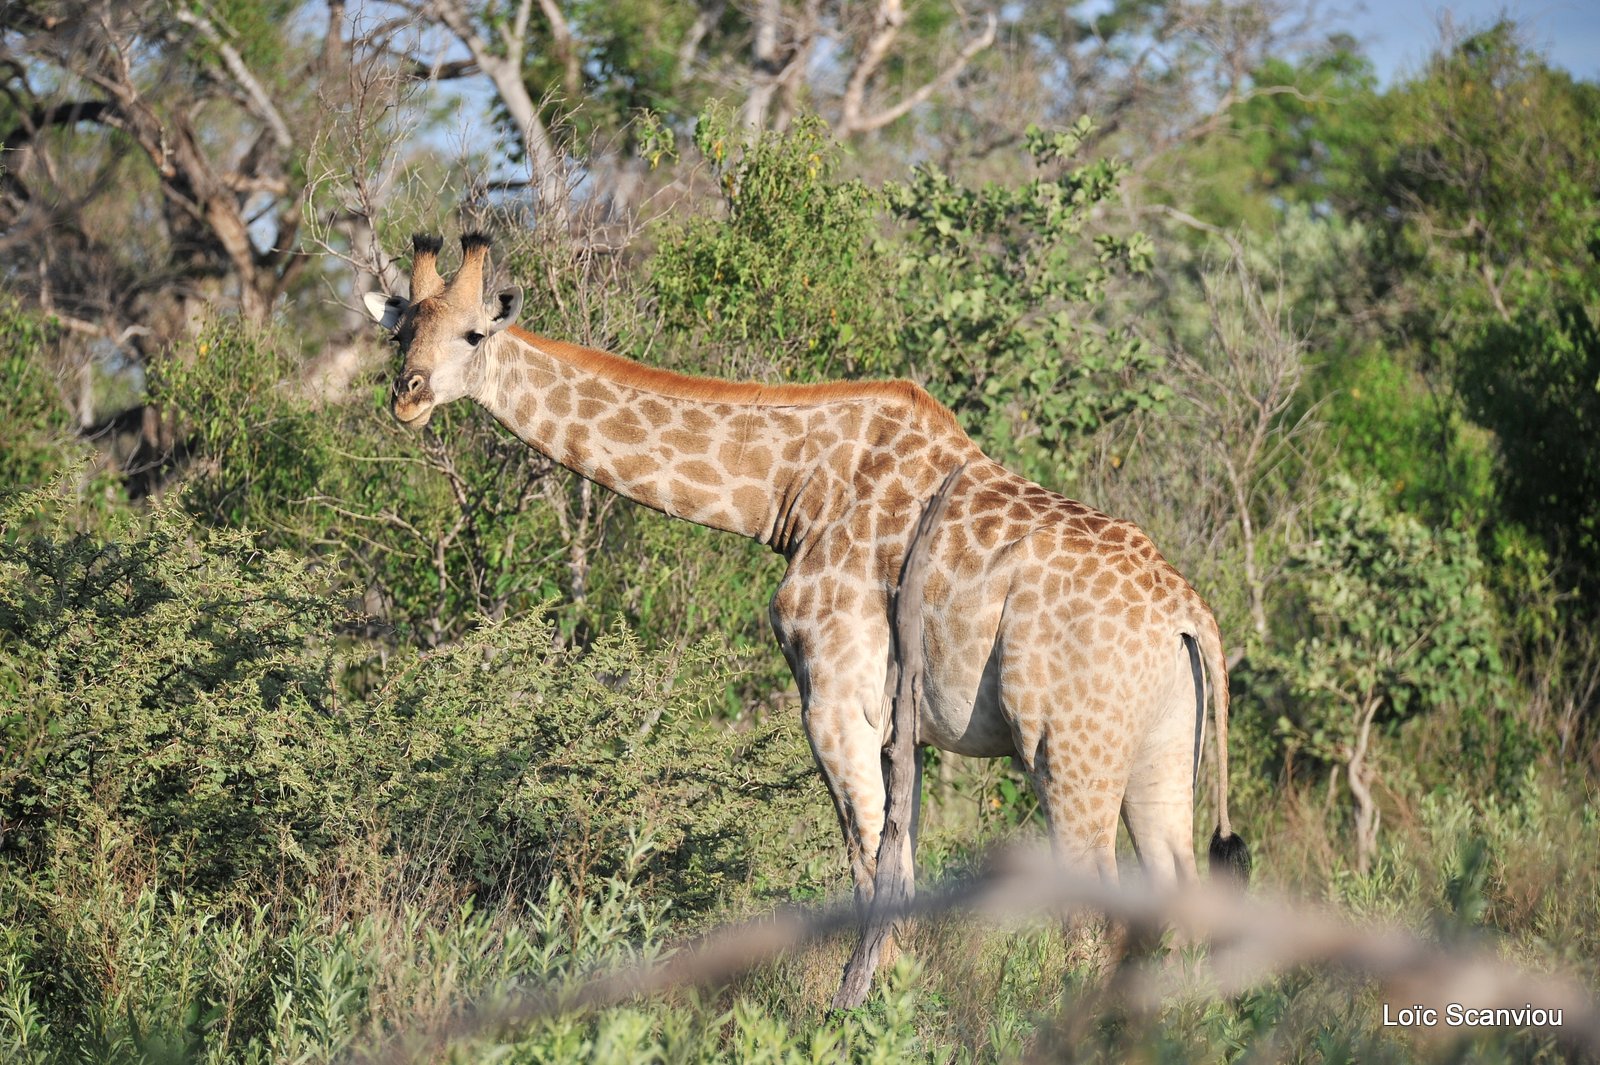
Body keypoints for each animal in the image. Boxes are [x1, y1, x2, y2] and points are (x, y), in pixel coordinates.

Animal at [371, 231, 1248, 914]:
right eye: (399, 333)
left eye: (473, 336)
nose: (406, 396)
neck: (791, 489)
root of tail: (1190, 613)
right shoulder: (897, 723)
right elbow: (897, 860)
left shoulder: (834, 695)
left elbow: (873, 867)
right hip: (1161, 744)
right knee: (1176, 883)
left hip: (1066, 745)